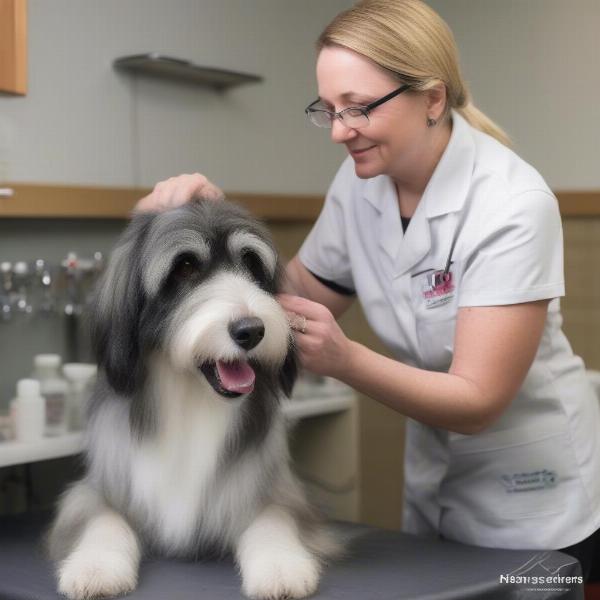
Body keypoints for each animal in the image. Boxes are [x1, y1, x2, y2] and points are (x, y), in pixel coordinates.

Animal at [47, 199, 336, 596]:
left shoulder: (278, 492)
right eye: (184, 266)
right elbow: (103, 519)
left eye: (251, 263)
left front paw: (281, 568)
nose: (251, 330)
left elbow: (274, 518)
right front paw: (95, 568)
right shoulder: (97, 490)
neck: (192, 398)